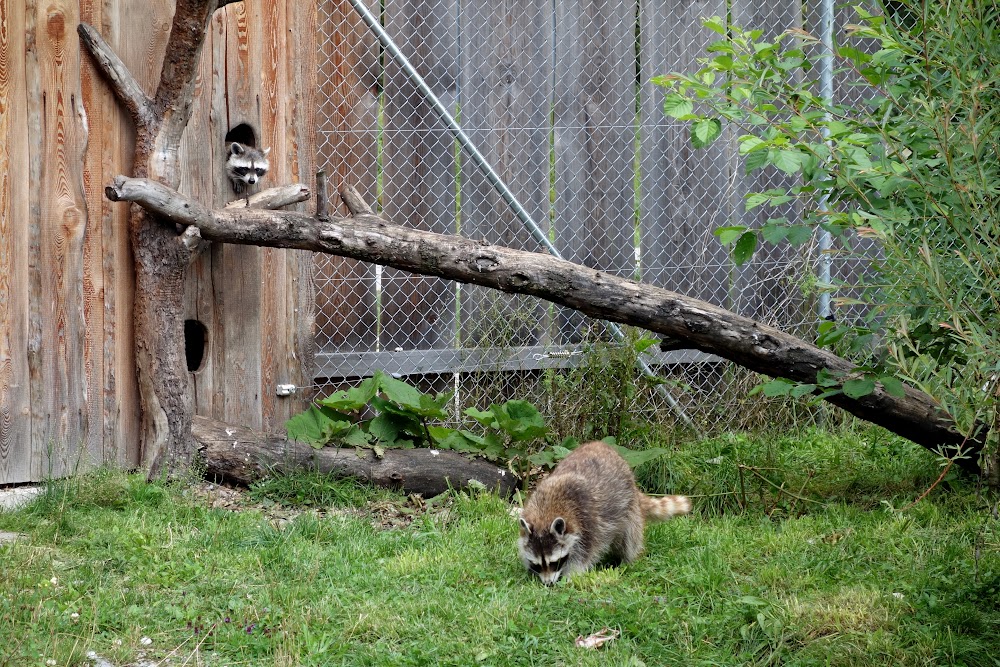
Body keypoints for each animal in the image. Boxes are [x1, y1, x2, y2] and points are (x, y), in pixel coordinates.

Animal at [516, 440, 688, 588]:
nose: (548, 584)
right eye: (537, 564)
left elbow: (583, 554)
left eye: (555, 563)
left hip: (628, 506)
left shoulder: (587, 521)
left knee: (630, 537)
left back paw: (628, 560)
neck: (546, 512)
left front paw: (571, 576)